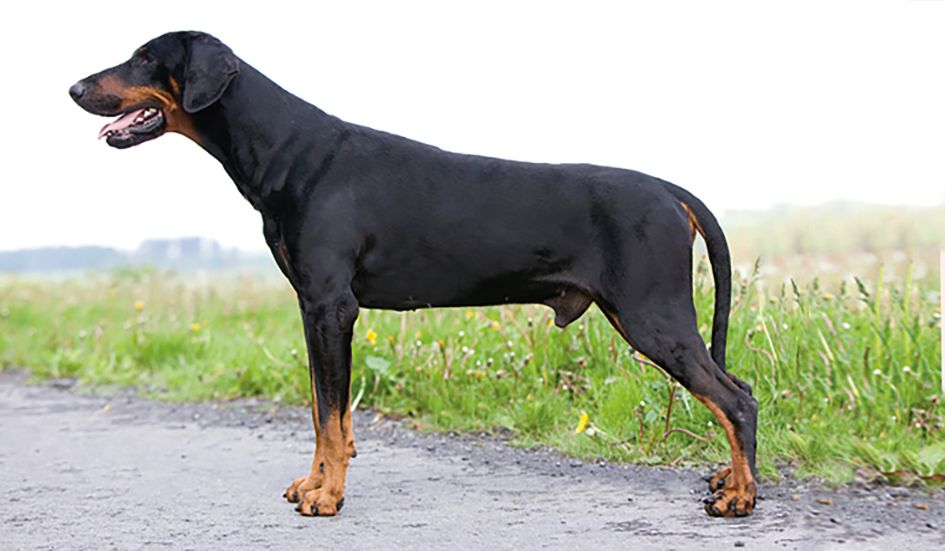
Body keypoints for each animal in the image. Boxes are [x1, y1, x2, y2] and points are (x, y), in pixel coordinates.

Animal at [70, 32, 756, 520]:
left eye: (144, 59)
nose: (74, 88)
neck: (286, 148)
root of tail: (669, 191)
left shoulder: (331, 307)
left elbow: (329, 416)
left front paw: (326, 497)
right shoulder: (312, 310)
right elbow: (325, 412)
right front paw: (314, 483)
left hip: (650, 313)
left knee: (737, 401)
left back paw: (740, 497)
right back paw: (730, 478)